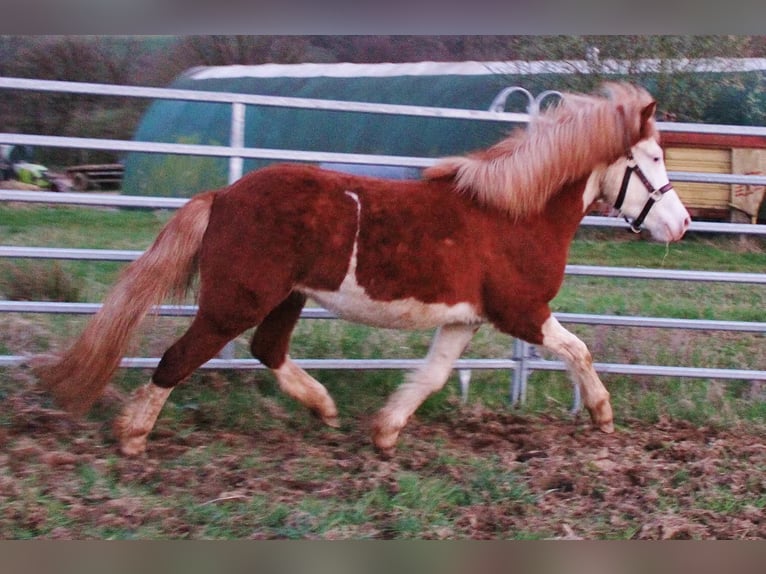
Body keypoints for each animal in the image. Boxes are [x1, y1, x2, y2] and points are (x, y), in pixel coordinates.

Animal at [36, 82, 691, 457]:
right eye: (654, 158)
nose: (682, 224)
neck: (514, 213)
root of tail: (222, 198)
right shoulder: (521, 312)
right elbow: (579, 349)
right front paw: (603, 416)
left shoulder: (464, 320)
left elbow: (431, 376)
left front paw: (385, 432)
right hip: (237, 300)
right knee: (179, 357)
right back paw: (132, 437)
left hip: (287, 297)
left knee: (268, 349)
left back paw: (324, 408)